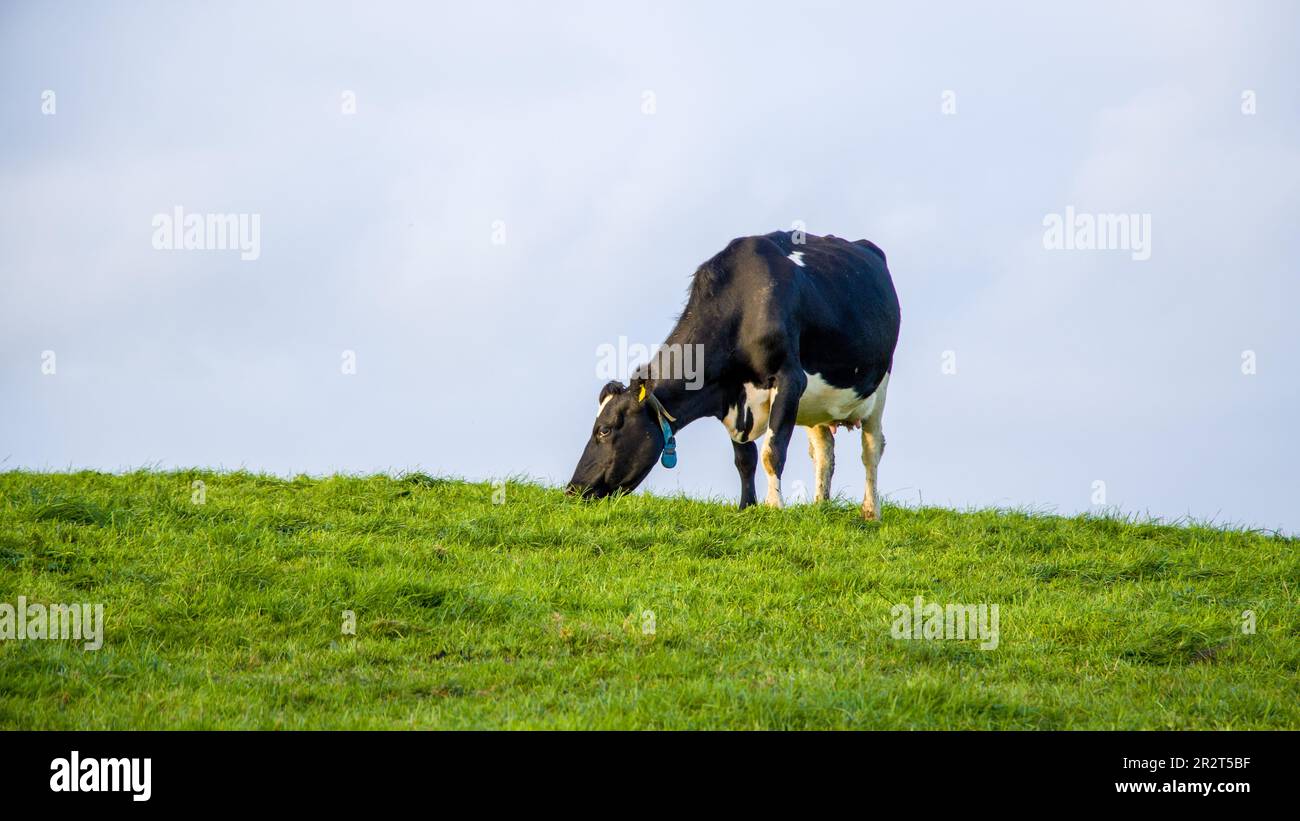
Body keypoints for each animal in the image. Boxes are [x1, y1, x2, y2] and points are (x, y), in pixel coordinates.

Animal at [567, 230, 901, 520]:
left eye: (604, 429)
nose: (573, 488)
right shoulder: (731, 399)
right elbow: (745, 459)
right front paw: (746, 507)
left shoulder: (790, 378)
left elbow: (772, 451)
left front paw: (773, 507)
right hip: (818, 406)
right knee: (824, 452)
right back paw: (820, 506)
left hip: (880, 386)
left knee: (871, 450)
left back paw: (871, 511)